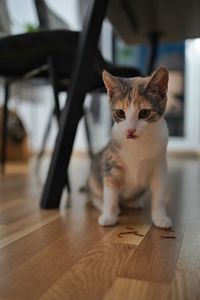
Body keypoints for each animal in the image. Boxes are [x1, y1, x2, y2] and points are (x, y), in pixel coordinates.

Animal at [88, 67, 173, 229]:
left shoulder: (159, 165)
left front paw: (160, 217)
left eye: (144, 113)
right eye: (120, 113)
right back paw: (105, 205)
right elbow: (110, 194)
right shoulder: (110, 161)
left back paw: (133, 202)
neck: (137, 145)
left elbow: (159, 194)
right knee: (95, 195)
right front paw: (109, 216)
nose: (130, 130)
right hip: (95, 174)